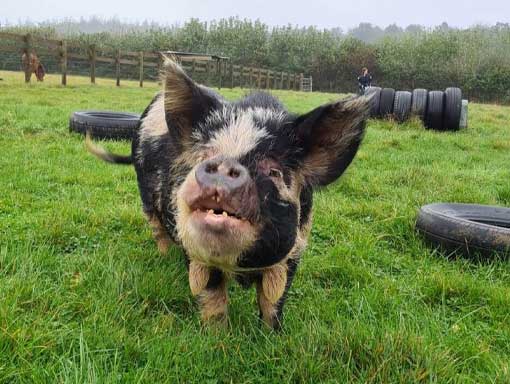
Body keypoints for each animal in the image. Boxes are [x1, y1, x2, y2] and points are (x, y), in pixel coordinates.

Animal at [85, 58, 368, 328]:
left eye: (274, 171)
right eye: (204, 156)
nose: (222, 165)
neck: (240, 266)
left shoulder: (295, 249)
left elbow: (273, 302)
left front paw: (272, 334)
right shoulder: (196, 253)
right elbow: (213, 298)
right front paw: (217, 336)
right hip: (145, 195)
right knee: (157, 228)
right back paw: (164, 256)